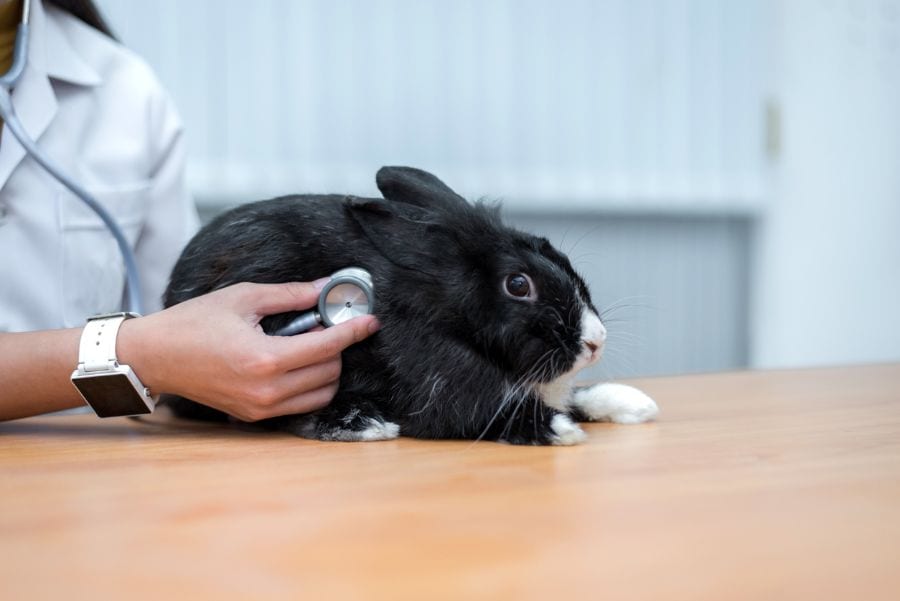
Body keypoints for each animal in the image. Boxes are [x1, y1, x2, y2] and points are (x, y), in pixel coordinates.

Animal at [162, 167, 658, 445]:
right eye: (518, 284)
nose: (595, 342)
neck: (444, 313)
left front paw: (635, 405)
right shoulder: (443, 386)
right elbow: (483, 412)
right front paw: (560, 430)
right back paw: (363, 425)